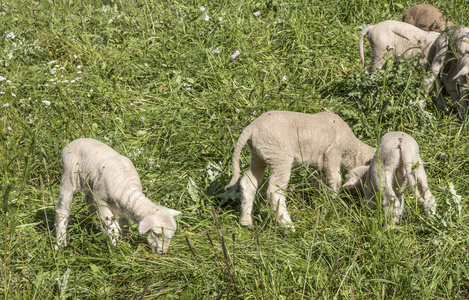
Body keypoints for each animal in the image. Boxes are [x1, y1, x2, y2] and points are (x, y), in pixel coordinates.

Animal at [225, 111, 374, 231]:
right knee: (274, 191)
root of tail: (251, 128)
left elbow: (317, 182)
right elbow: (335, 180)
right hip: (280, 157)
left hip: (258, 155)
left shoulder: (316, 164)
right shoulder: (333, 154)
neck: (350, 148)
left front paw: (318, 203)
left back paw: (246, 222)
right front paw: (335, 203)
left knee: (248, 183)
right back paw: (288, 226)